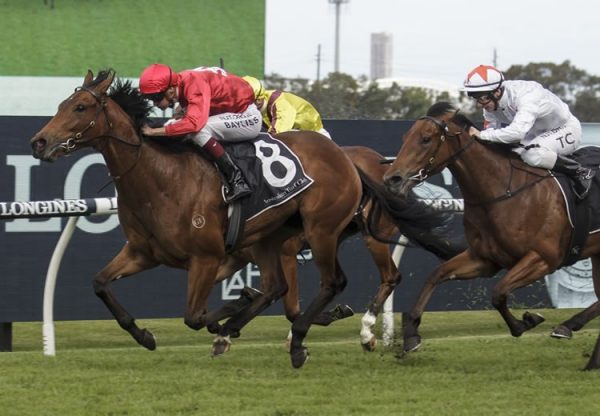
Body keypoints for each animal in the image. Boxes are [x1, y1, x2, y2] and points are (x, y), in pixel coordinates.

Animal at [28, 70, 450, 368]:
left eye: (80, 108)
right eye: (63, 104)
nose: (39, 142)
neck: (162, 178)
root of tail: (352, 160)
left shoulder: (208, 256)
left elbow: (195, 315)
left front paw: (231, 316)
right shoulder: (144, 253)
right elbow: (100, 283)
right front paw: (144, 334)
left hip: (326, 230)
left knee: (342, 281)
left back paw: (318, 339)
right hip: (272, 239)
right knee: (285, 286)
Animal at [382, 101, 600, 370]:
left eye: (425, 138)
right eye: (405, 137)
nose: (392, 179)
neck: (503, 193)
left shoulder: (543, 258)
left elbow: (498, 293)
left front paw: (525, 322)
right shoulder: (484, 259)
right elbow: (436, 275)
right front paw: (411, 334)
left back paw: (569, 328)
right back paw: (579, 343)